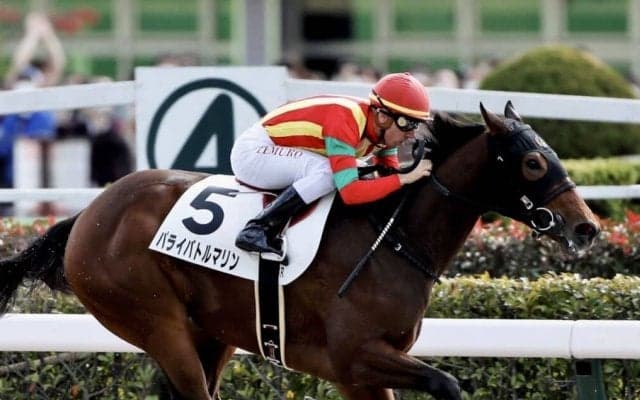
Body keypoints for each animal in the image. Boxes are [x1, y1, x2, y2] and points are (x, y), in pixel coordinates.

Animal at [0, 102, 599, 400]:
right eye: (533, 163)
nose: (587, 227)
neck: (393, 239)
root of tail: (87, 215)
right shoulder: (355, 357)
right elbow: (446, 382)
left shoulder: (361, 376)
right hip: (152, 320)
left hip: (211, 332)